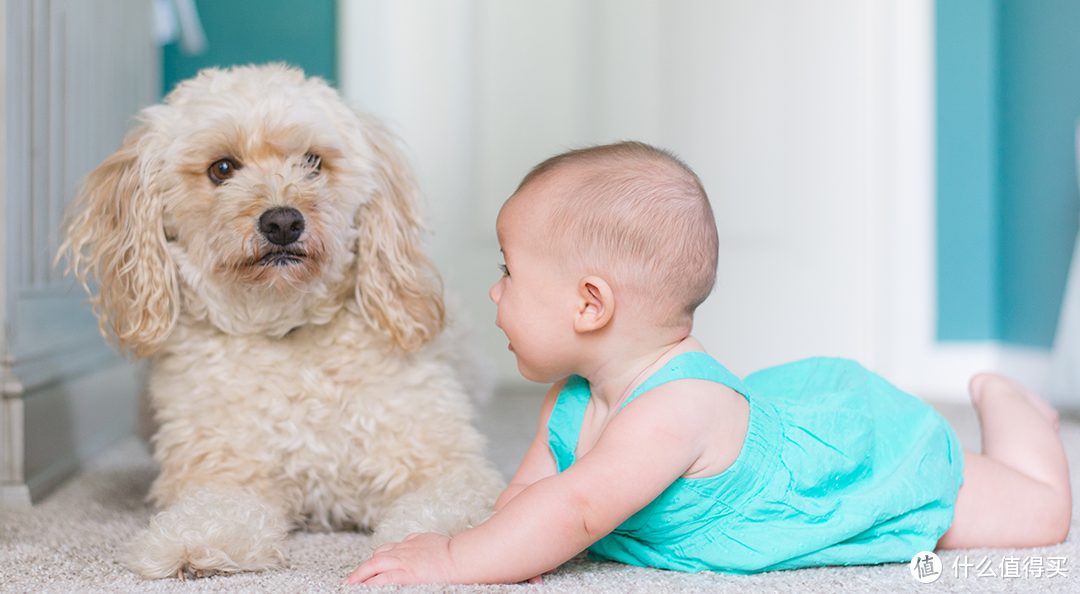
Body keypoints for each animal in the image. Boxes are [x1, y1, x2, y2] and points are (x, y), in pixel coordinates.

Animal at [62, 65, 505, 583]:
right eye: (222, 169)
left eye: (313, 162)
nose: (282, 222)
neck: (285, 328)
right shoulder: (223, 471)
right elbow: (217, 508)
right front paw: (194, 541)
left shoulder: (443, 464)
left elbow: (451, 506)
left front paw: (435, 546)